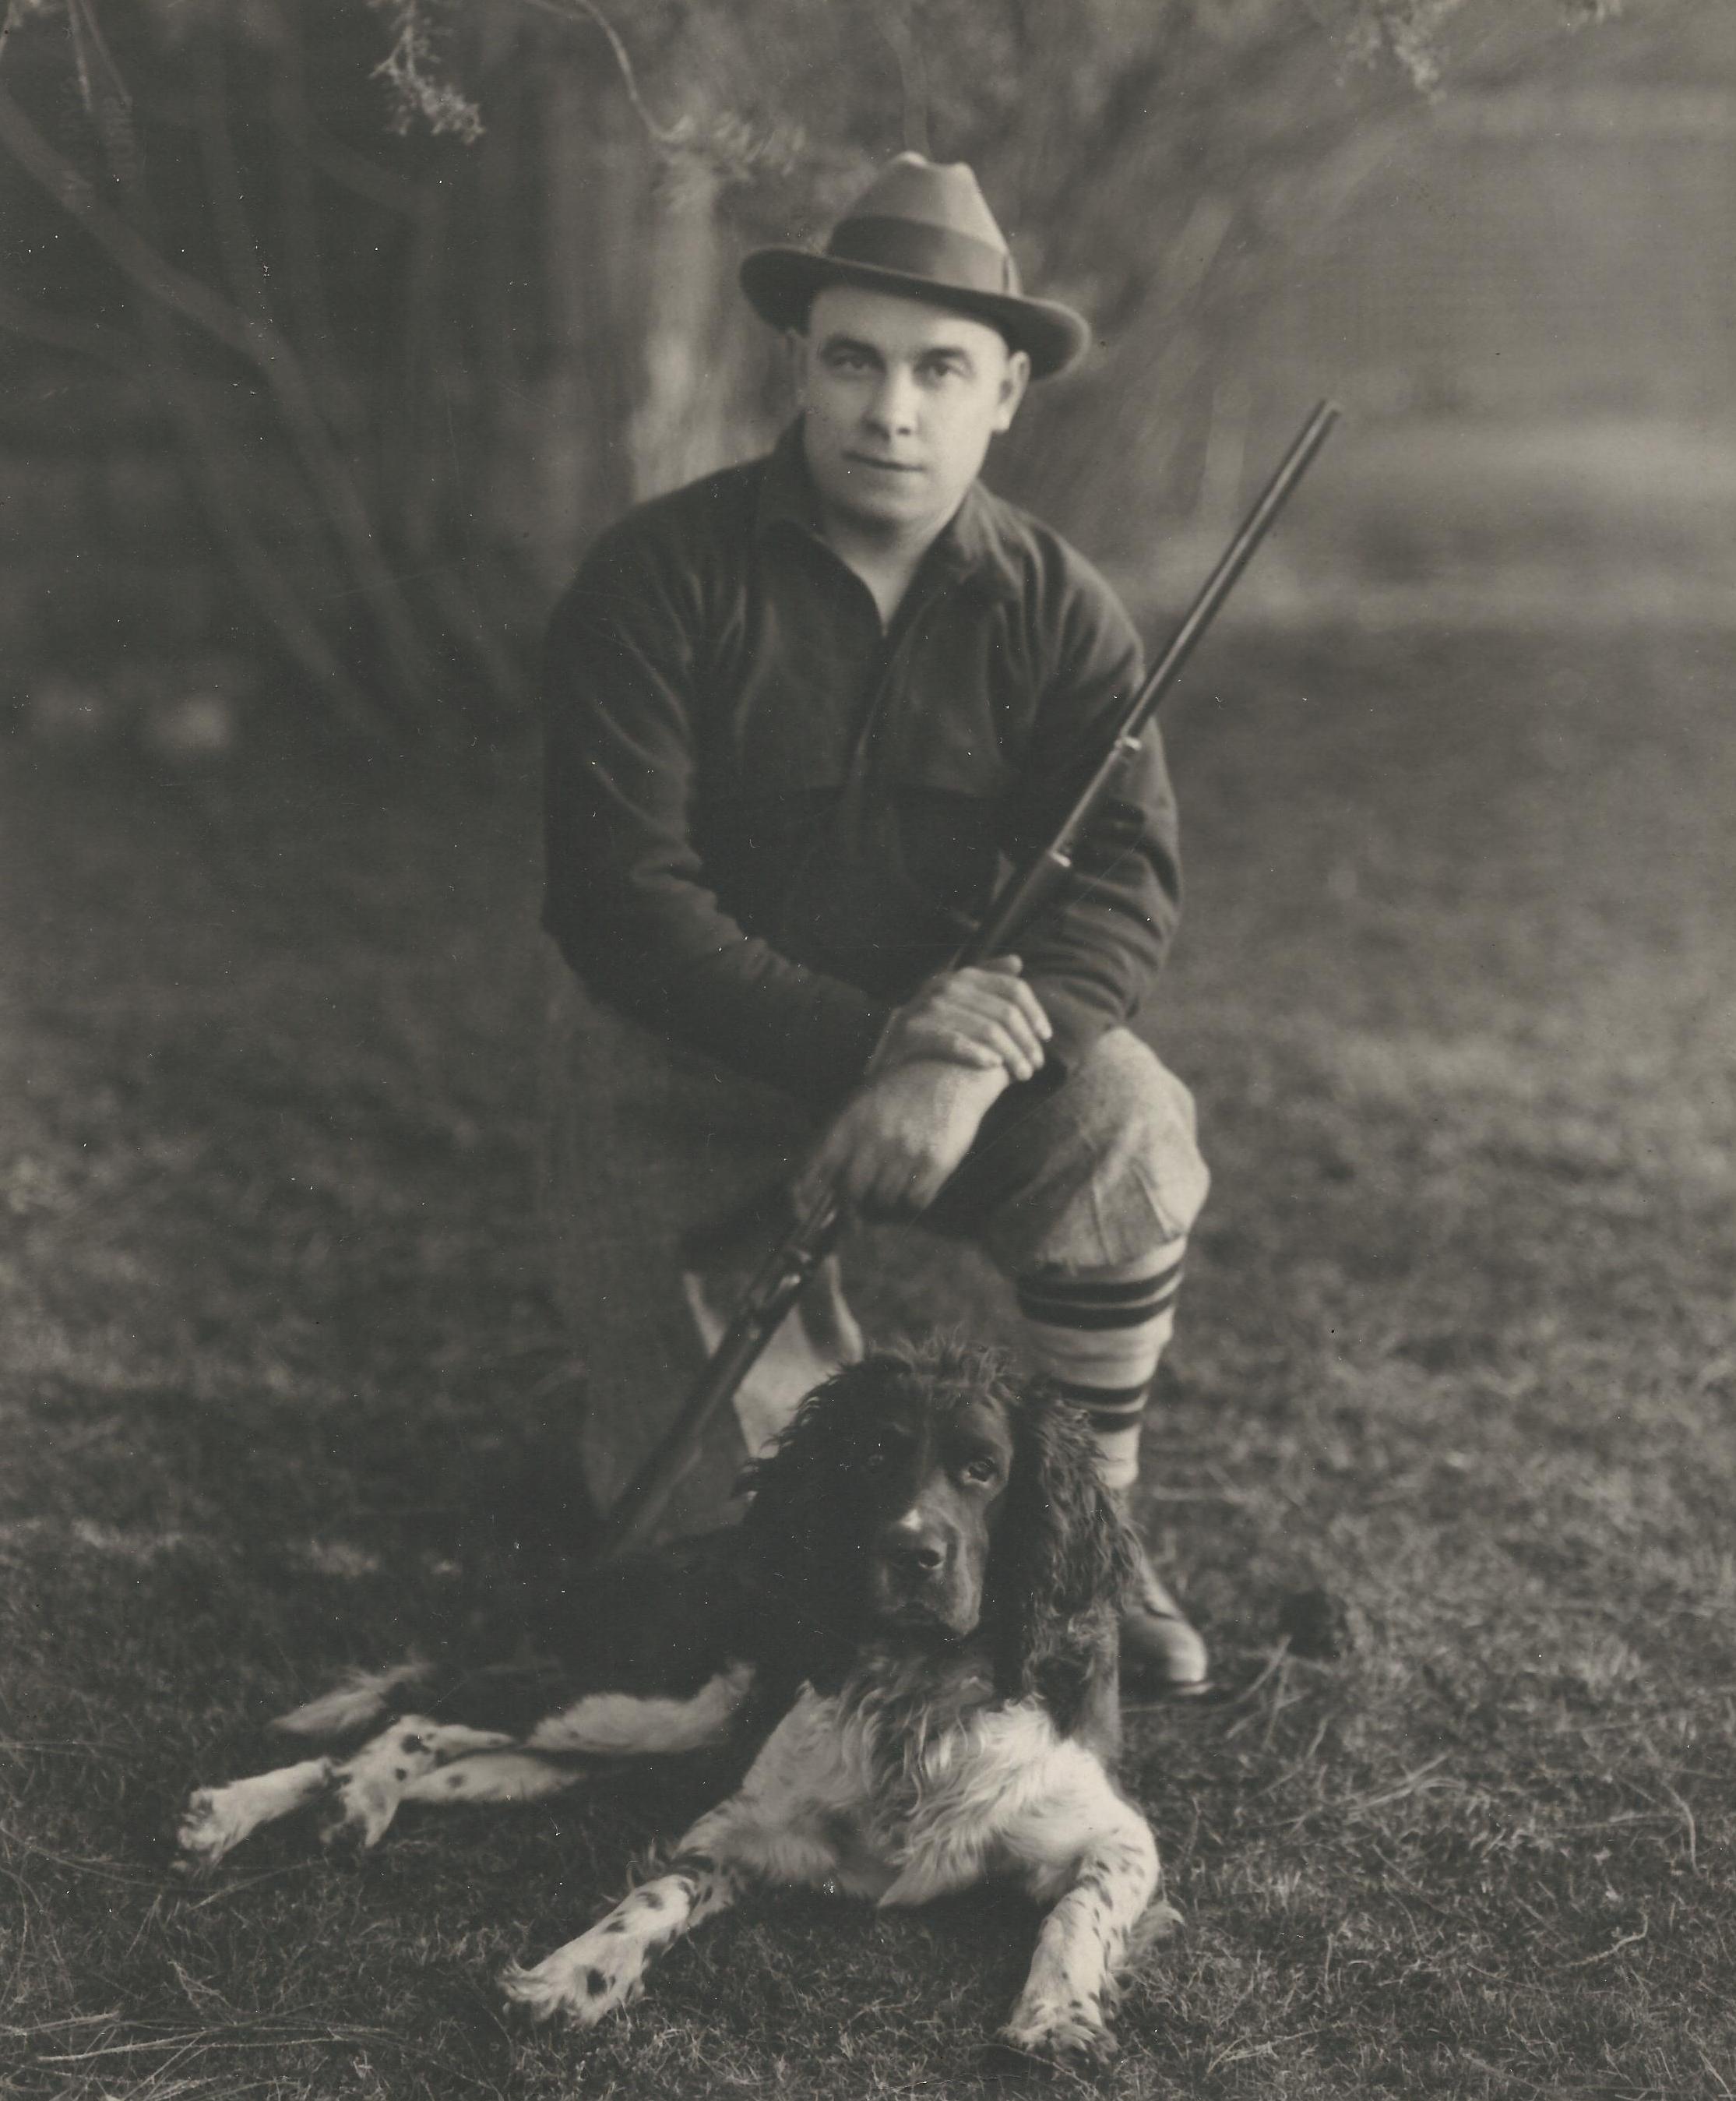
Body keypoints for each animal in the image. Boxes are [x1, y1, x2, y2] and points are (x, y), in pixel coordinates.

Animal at [175, 1336, 1168, 2059]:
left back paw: (302, 1806)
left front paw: (1058, 2012)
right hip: (662, 1699)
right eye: (873, 1457)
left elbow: (1081, 1907)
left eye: (983, 1469)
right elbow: (657, 1897)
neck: (922, 1694)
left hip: (580, 1755)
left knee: (431, 1747)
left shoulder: (1118, 1835)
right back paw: (300, 1802)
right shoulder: (745, 1829)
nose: (913, 1554)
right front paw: (576, 1973)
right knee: (422, 1710)